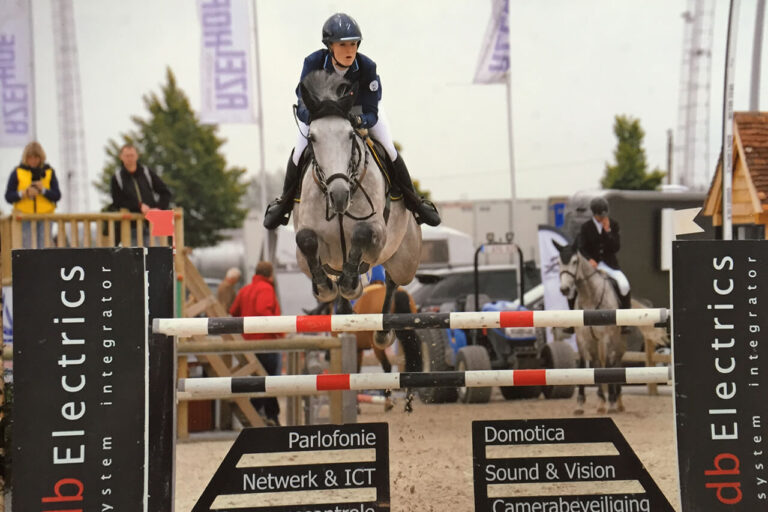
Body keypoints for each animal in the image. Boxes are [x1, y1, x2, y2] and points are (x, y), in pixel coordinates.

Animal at [292, 70, 420, 346]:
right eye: (312, 138)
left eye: (350, 135)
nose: (339, 196)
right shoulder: (307, 233)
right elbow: (306, 239)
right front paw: (325, 288)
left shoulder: (378, 231)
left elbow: (362, 233)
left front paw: (351, 284)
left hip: (405, 261)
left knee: (392, 281)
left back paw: (381, 330)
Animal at [556, 242, 628, 414]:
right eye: (558, 262)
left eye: (575, 261)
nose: (565, 289)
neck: (589, 297)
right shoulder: (582, 339)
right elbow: (585, 365)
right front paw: (580, 404)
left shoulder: (604, 338)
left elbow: (604, 364)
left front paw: (604, 402)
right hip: (595, 343)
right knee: (600, 362)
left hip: (617, 341)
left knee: (615, 362)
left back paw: (616, 400)